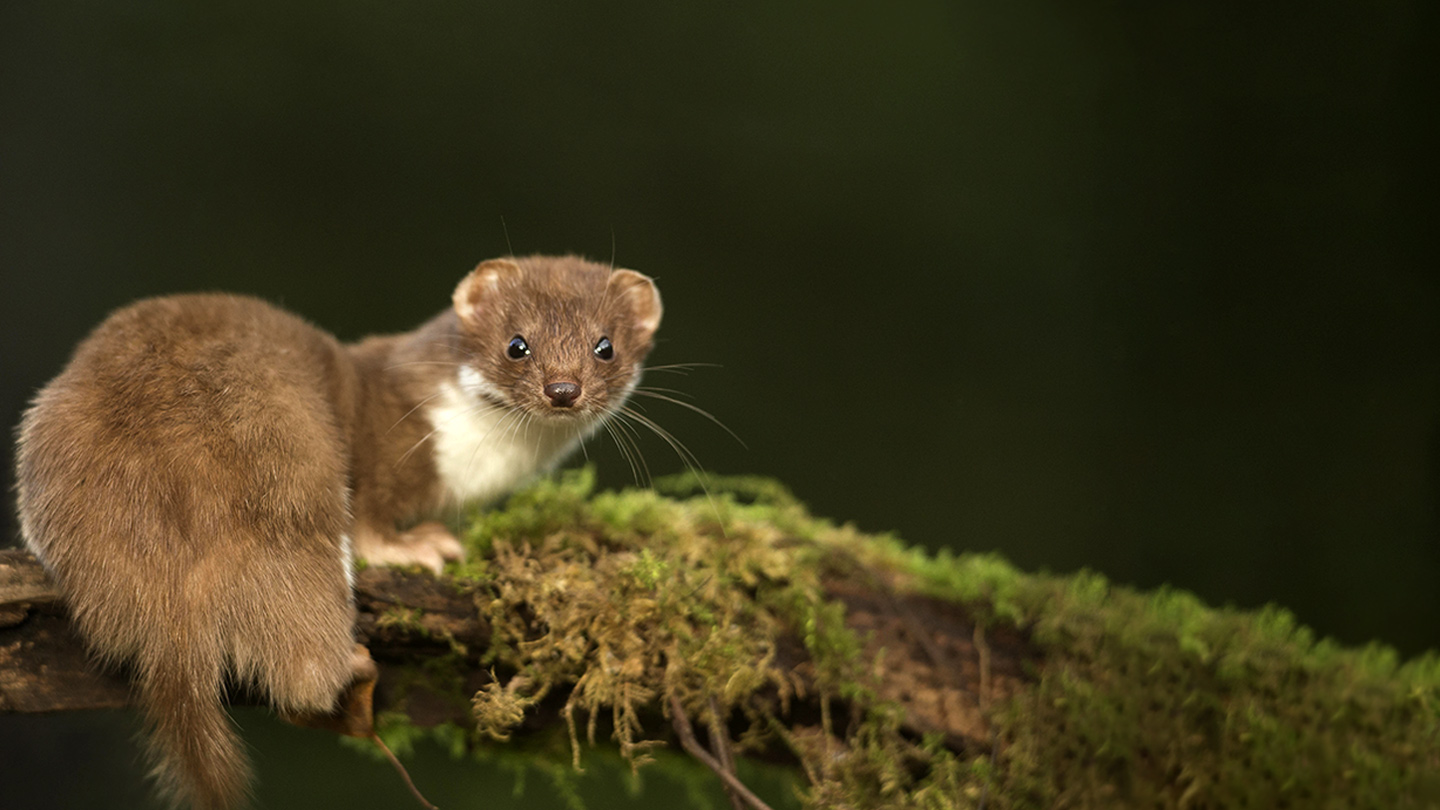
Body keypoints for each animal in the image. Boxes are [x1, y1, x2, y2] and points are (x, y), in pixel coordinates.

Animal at [14, 253, 662, 807]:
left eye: (605, 346)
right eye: (517, 344)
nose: (563, 389)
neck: (482, 461)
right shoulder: (390, 453)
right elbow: (375, 520)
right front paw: (420, 545)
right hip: (293, 478)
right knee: (300, 662)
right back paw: (352, 664)